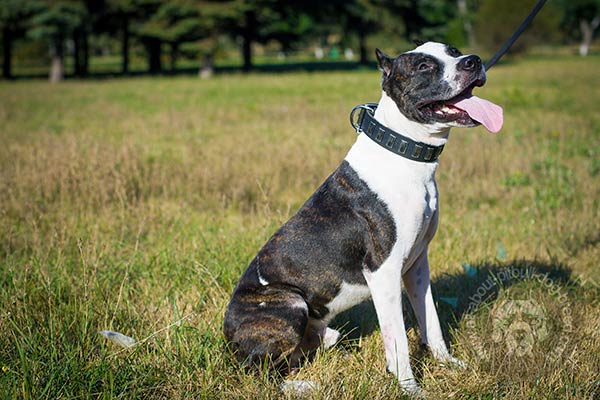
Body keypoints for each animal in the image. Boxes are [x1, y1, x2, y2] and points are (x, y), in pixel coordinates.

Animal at [223, 40, 504, 394]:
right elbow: (397, 341)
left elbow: (431, 321)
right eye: (423, 66)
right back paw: (303, 386)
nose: (473, 61)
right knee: (260, 373)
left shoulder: (417, 265)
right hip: (289, 302)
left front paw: (449, 364)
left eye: (453, 51)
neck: (403, 151)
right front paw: (410, 389)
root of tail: (227, 337)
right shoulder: (383, 271)